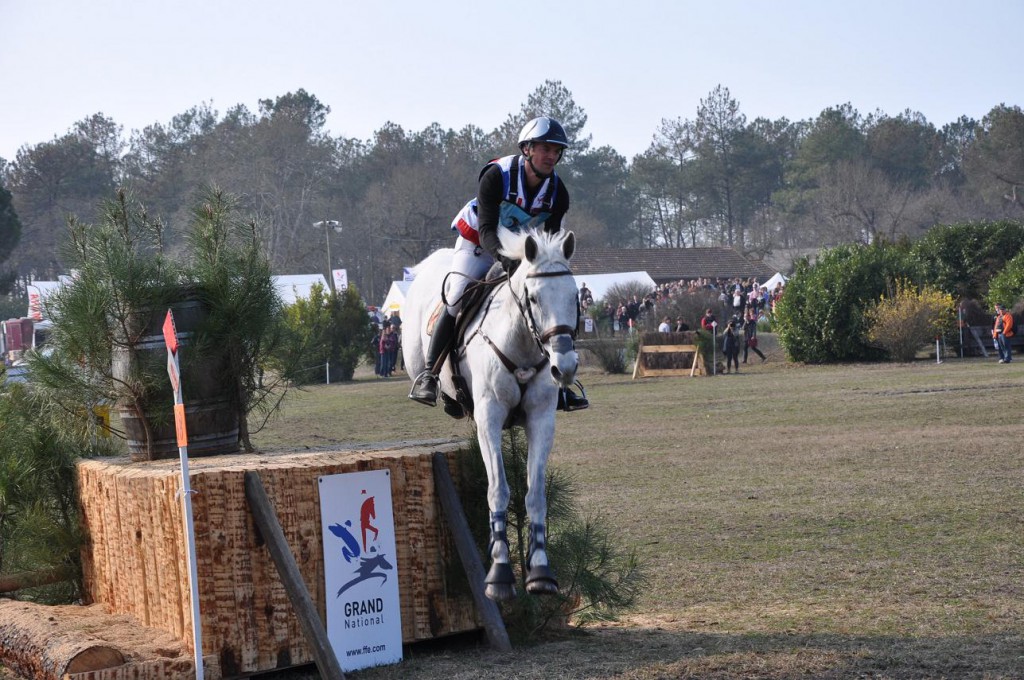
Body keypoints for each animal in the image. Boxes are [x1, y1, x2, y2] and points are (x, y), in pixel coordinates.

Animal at [401, 228, 577, 602]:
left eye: (575, 296)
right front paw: (499, 575)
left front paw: (540, 572)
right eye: (534, 299)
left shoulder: (542, 418)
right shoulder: (490, 418)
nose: (565, 368)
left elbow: (535, 493)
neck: (522, 341)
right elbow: (498, 489)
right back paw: (428, 386)